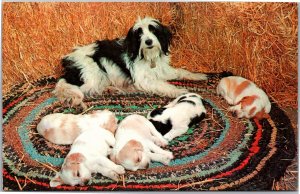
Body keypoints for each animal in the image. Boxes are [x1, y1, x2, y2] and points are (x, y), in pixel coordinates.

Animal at [53, 16, 206, 108]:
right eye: (139, 34)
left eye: (153, 30)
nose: (148, 41)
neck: (148, 56)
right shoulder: (144, 79)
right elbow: (163, 85)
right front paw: (179, 91)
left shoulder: (162, 70)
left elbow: (181, 71)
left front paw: (198, 76)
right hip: (93, 75)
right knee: (75, 90)